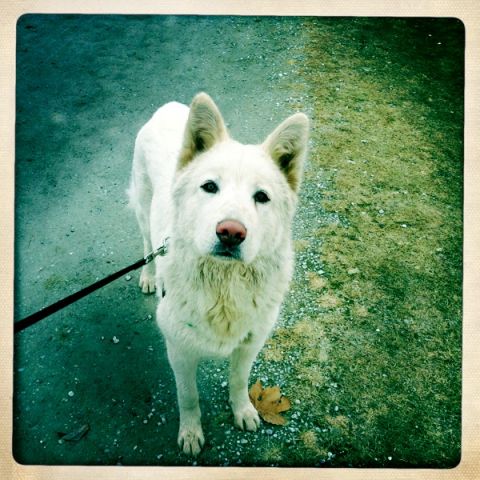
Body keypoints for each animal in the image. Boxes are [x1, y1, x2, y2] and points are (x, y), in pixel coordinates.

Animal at [127, 93, 310, 454]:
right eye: (209, 187)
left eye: (261, 197)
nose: (230, 233)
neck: (224, 286)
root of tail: (169, 107)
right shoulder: (179, 352)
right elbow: (188, 396)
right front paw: (191, 432)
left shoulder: (250, 345)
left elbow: (238, 381)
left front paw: (243, 411)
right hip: (142, 208)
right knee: (147, 244)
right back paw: (149, 276)